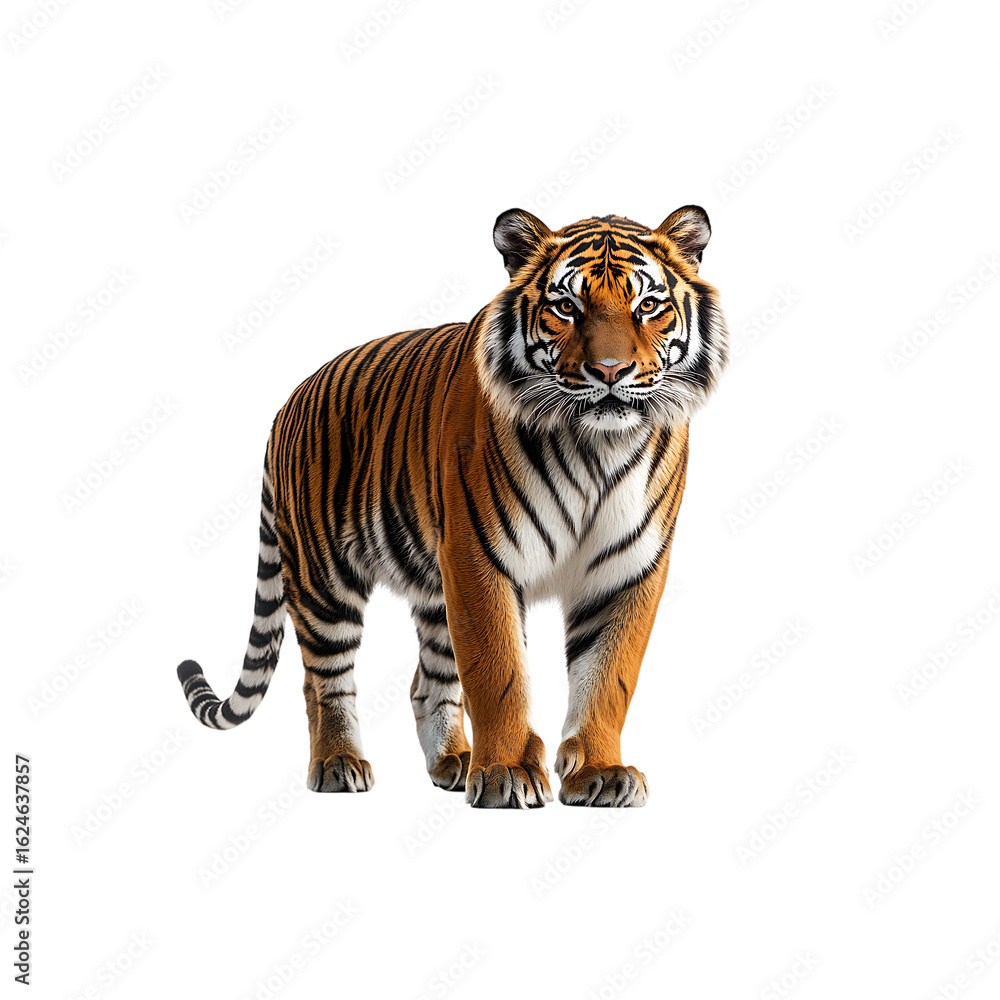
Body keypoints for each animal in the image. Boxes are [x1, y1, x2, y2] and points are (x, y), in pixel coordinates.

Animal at [177, 206, 728, 808]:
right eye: (566, 307)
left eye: (648, 306)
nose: (609, 371)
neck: (596, 447)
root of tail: (287, 402)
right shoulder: (479, 555)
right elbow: (498, 671)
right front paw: (507, 772)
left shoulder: (628, 568)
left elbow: (608, 678)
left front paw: (600, 772)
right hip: (323, 578)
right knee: (322, 679)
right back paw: (339, 763)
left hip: (432, 587)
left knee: (427, 683)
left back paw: (456, 761)